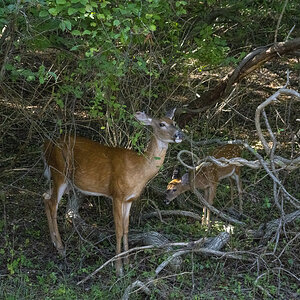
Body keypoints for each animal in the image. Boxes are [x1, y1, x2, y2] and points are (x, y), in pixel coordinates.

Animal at [42, 109, 183, 276]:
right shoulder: (117, 195)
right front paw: (119, 268)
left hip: (68, 182)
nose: (179, 134)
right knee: (52, 204)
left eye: (174, 122)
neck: (139, 169)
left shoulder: (129, 199)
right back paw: (60, 247)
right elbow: (119, 230)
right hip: (60, 172)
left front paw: (128, 263)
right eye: (162, 124)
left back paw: (53, 241)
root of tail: (47, 145)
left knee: (45, 196)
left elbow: (127, 229)